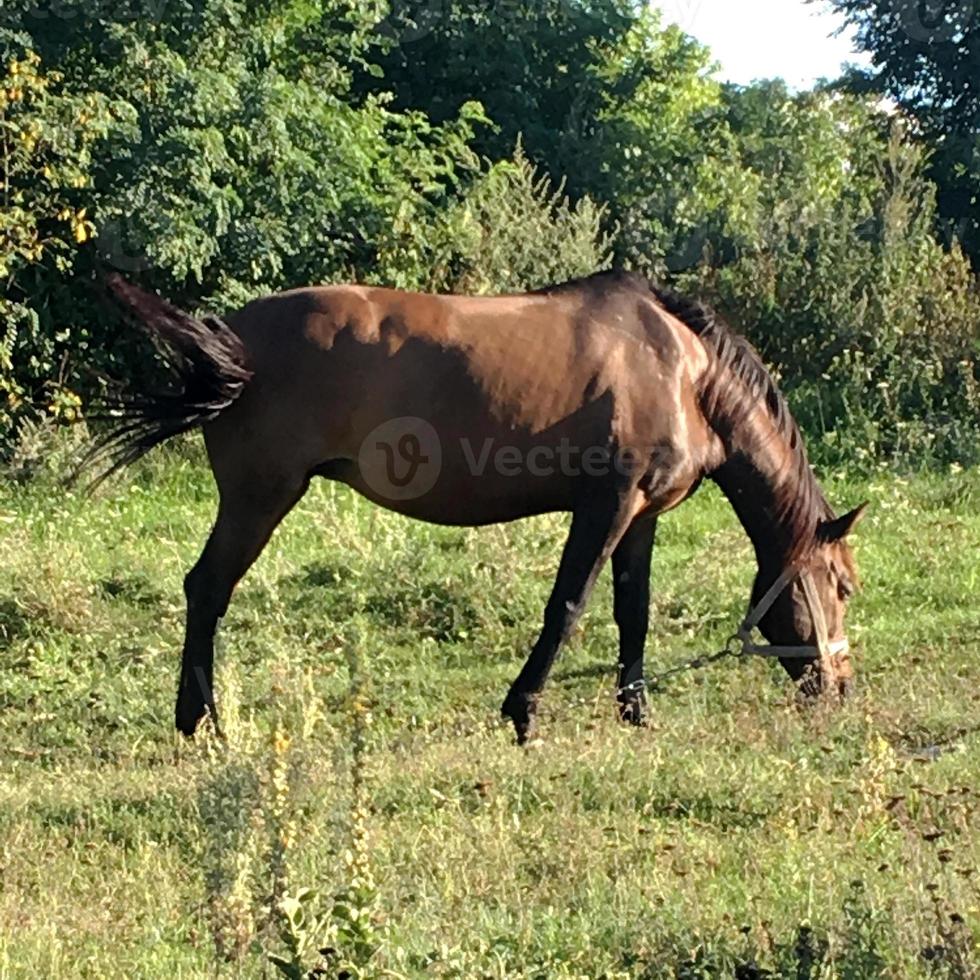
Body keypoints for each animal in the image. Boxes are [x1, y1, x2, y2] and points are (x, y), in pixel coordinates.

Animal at [92, 268, 864, 744]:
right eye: (843, 587)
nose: (840, 688)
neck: (683, 370)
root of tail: (233, 340)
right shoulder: (607, 504)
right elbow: (568, 607)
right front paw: (523, 712)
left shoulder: (641, 516)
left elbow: (633, 613)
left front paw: (637, 711)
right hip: (261, 497)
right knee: (208, 588)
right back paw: (202, 721)